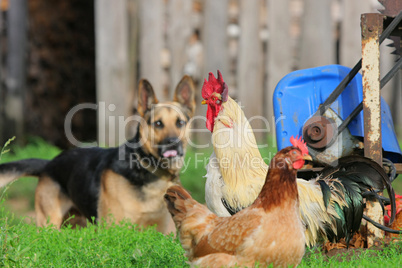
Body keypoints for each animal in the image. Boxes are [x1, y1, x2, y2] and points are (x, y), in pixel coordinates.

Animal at [0, 75, 196, 234]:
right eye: (158, 123)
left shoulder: (158, 230)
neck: (147, 168)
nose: (173, 142)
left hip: (75, 224)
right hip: (49, 223)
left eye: (180, 123)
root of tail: (49, 164)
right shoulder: (115, 229)